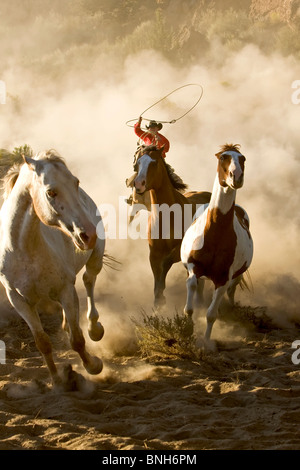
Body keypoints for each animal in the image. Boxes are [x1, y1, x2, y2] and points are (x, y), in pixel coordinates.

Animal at [0, 151, 105, 390]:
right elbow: (42, 342)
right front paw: (57, 381)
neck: (23, 250)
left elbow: (77, 340)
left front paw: (93, 366)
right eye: (51, 192)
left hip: (95, 258)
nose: (88, 234)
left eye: (75, 182)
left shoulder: (65, 289)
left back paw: (94, 328)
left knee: (89, 281)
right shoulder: (19, 301)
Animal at [132, 147, 212, 308]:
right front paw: (158, 303)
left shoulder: (177, 253)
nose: (138, 184)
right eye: (137, 163)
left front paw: (162, 298)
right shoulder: (154, 255)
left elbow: (165, 268)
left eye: (154, 163)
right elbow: (157, 282)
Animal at [180, 143, 253, 346]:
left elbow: (211, 314)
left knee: (230, 293)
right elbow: (190, 302)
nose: (236, 177)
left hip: (235, 278)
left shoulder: (223, 279)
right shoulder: (193, 267)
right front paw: (188, 330)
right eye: (223, 157)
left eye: (243, 158)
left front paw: (206, 343)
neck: (215, 233)